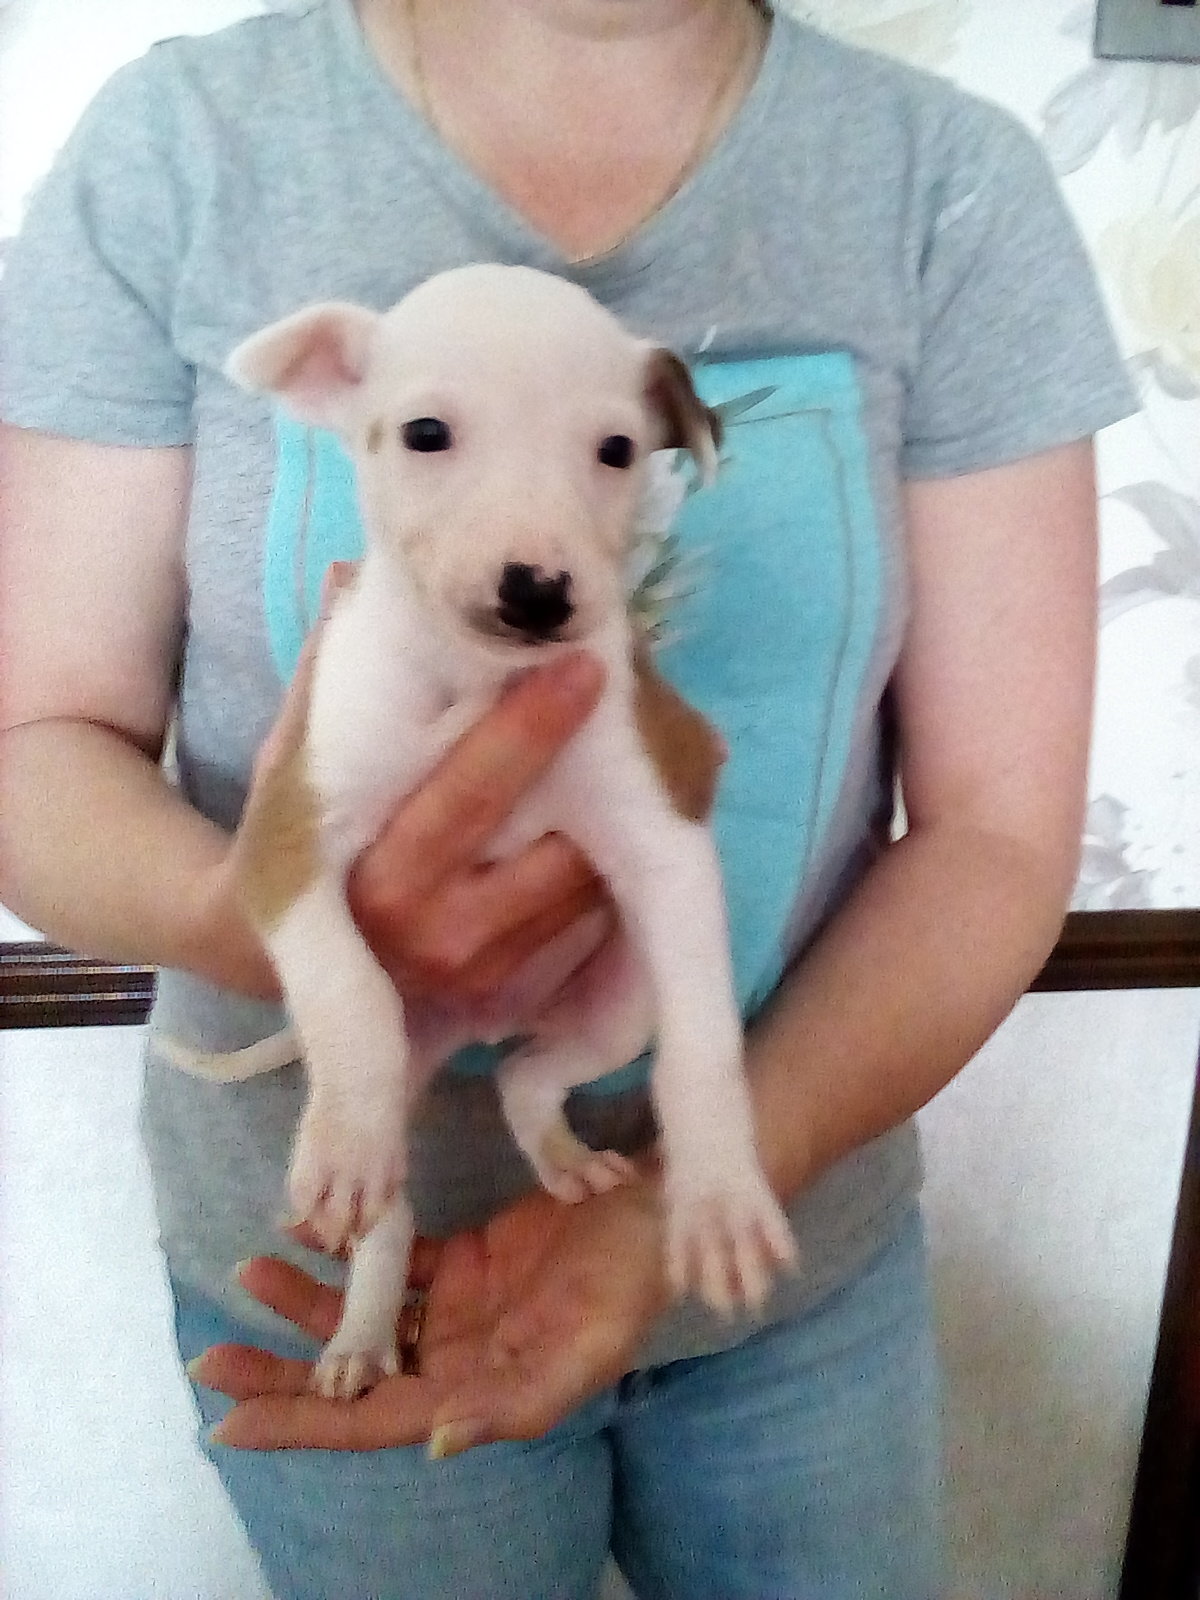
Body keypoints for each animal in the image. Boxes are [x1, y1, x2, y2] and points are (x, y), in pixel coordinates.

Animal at [188, 272, 793, 1401]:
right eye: (426, 433)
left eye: (617, 449)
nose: (538, 590)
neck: (475, 678)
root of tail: (481, 1018)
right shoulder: (286, 836)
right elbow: (348, 989)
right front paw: (342, 1148)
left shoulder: (663, 837)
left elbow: (704, 1045)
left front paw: (721, 1202)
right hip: (416, 1067)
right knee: (390, 1211)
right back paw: (362, 1325)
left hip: (615, 1004)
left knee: (528, 1076)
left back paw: (560, 1153)